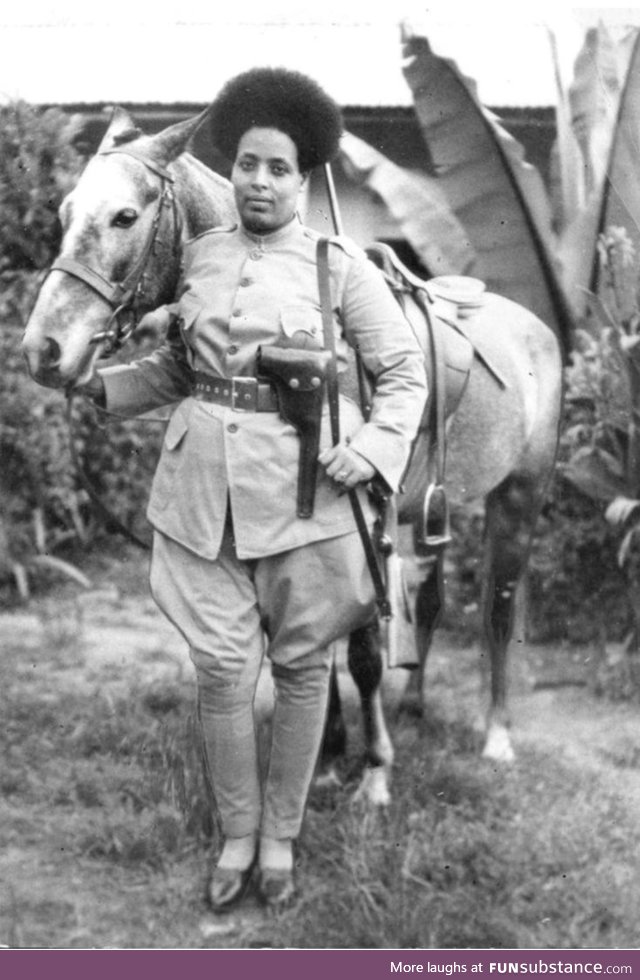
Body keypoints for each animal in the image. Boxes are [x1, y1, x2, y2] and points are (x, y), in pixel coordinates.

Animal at [20, 111, 564, 808]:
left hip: (518, 494)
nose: (44, 350)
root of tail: (538, 330)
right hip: (436, 507)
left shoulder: (367, 517)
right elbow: (316, 641)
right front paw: (326, 758)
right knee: (434, 596)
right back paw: (415, 702)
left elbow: (362, 653)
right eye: (63, 212)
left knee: (498, 604)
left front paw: (375, 773)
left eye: (124, 216)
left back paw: (496, 734)